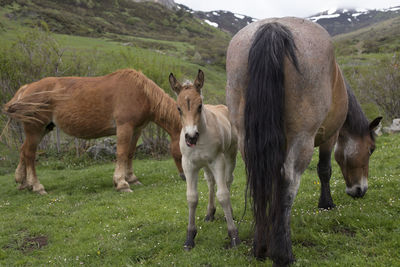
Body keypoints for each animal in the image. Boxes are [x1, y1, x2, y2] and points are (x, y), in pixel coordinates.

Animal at [2, 68, 184, 195]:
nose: (184, 177)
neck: (141, 93)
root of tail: (27, 88)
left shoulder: (136, 130)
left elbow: (130, 153)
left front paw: (131, 178)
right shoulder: (124, 127)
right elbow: (122, 153)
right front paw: (121, 183)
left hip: (43, 129)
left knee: (23, 151)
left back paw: (23, 182)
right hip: (35, 129)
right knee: (29, 154)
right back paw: (37, 186)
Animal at [225, 17, 382, 266]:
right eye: (371, 150)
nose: (360, 190)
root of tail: (273, 28)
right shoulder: (330, 136)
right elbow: (325, 170)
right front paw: (326, 203)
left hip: (246, 139)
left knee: (260, 180)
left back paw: (260, 247)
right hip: (302, 140)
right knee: (287, 182)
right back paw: (283, 254)